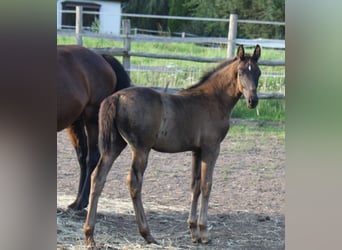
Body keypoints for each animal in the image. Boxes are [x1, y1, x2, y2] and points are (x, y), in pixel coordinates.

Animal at [56, 45, 131, 211]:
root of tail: (100, 56)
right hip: (76, 121)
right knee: (82, 157)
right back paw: (78, 201)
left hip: (92, 118)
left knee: (92, 158)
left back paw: (80, 202)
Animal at [84, 44, 260, 246]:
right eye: (240, 72)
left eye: (258, 73)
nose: (253, 100)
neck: (212, 100)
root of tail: (117, 97)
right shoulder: (211, 148)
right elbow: (207, 185)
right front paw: (204, 232)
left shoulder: (196, 151)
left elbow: (195, 186)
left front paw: (193, 232)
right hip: (141, 148)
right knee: (134, 182)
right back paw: (147, 234)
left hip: (115, 145)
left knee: (98, 177)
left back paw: (89, 235)